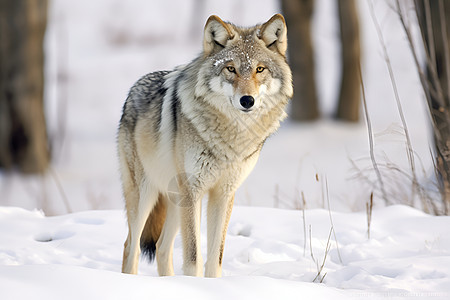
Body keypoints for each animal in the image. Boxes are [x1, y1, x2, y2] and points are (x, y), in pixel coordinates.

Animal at [118, 13, 294, 276]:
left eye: (259, 69)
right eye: (230, 68)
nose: (247, 100)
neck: (231, 138)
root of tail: (133, 89)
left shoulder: (223, 193)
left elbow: (215, 259)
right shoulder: (194, 191)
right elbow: (193, 258)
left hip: (174, 200)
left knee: (161, 248)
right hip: (145, 195)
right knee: (131, 247)